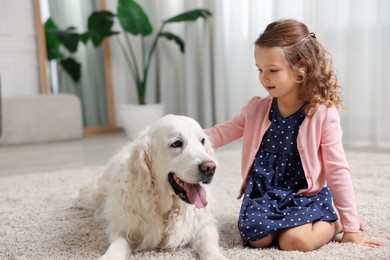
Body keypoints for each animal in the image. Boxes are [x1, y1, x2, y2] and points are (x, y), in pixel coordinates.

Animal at [74, 115, 225, 258]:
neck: (166, 207)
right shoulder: (124, 226)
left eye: (202, 141)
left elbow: (208, 243)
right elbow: (117, 244)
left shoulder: (203, 224)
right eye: (176, 143)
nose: (210, 168)